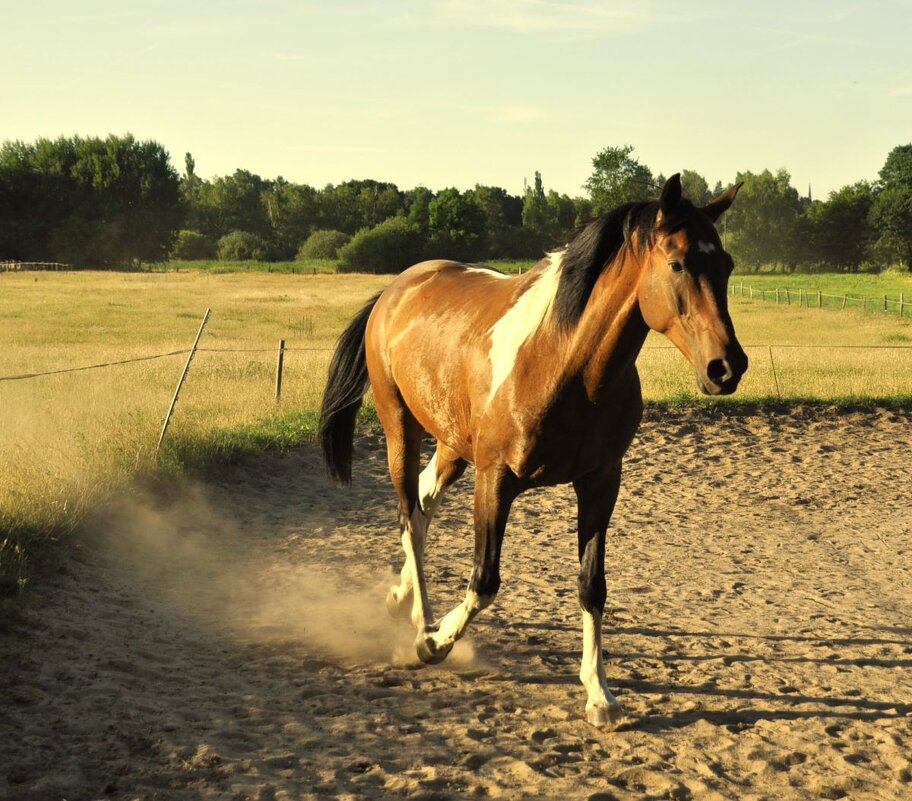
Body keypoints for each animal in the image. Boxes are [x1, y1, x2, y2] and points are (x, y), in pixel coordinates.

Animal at [318, 173, 744, 724]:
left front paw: (599, 693)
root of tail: (396, 289)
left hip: (453, 444)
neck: (563, 362)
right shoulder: (495, 479)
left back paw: (400, 598)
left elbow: (592, 586)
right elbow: (484, 580)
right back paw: (421, 620)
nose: (727, 367)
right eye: (677, 263)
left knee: (423, 501)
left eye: (726, 265)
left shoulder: (600, 483)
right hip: (401, 429)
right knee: (410, 514)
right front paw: (435, 644)